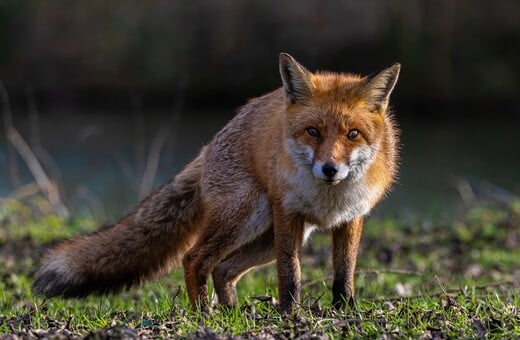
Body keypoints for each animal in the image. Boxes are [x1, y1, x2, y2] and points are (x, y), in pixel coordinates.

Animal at [32, 53, 400, 314]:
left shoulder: (351, 217)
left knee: (223, 268)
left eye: (352, 134)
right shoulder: (288, 213)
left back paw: (232, 312)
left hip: (266, 237)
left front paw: (344, 310)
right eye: (313, 132)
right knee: (194, 259)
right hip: (247, 220)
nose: (329, 169)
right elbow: (290, 273)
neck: (328, 199)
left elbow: (344, 272)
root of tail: (209, 146)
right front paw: (290, 313)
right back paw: (203, 314)